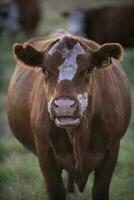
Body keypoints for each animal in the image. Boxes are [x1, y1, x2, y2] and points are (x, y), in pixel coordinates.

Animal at [6, 30, 131, 200]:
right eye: (44, 69)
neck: (78, 135)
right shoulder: (46, 153)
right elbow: (56, 190)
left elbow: (99, 191)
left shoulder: (111, 151)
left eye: (89, 69)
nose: (64, 106)